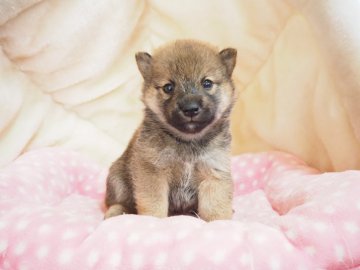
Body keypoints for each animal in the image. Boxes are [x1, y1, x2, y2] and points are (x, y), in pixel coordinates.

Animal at [105, 39, 236, 221]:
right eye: (168, 87)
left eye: (207, 83)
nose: (190, 109)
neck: (188, 141)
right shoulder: (153, 171)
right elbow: (154, 203)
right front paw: (153, 220)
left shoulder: (213, 173)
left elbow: (215, 206)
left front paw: (221, 222)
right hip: (117, 180)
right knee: (119, 202)